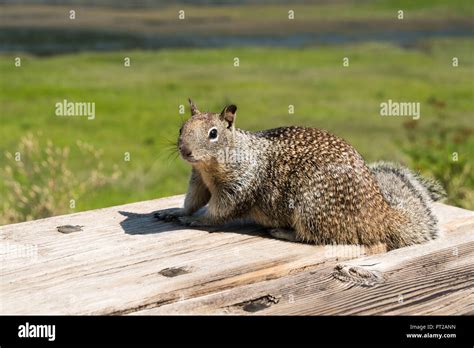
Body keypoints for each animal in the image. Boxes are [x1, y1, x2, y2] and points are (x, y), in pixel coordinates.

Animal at [155, 100, 444, 250]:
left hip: (311, 208)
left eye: (213, 133)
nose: (185, 150)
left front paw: (196, 220)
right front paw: (176, 212)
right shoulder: (198, 180)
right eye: (182, 128)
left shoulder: (239, 186)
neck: (211, 167)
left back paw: (283, 232)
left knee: (316, 237)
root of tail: (380, 216)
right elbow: (193, 200)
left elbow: (220, 211)